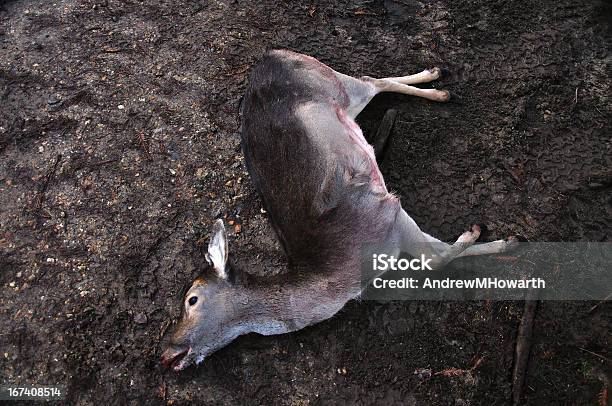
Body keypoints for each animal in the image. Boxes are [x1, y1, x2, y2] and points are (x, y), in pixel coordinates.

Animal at [161, 49, 516, 370]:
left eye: (191, 298)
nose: (166, 353)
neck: (339, 280)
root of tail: (271, 56)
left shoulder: (388, 216)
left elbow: (436, 257)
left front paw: (483, 233)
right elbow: (440, 251)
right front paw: (504, 242)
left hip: (334, 83)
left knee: (372, 80)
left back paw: (439, 86)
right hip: (343, 98)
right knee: (374, 82)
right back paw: (436, 78)